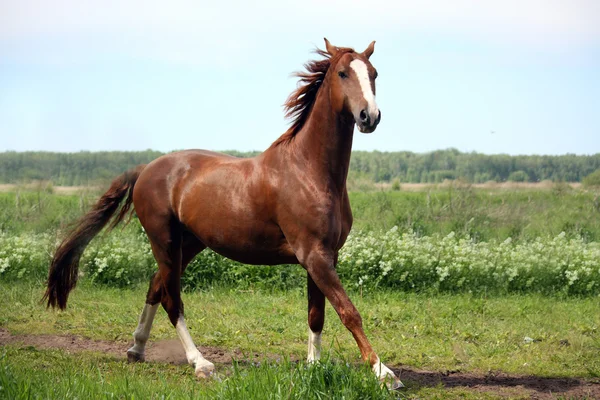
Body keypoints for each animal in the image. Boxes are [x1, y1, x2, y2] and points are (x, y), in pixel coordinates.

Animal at [43, 39, 404, 390]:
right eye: (343, 73)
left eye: (373, 74)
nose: (369, 116)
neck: (309, 171)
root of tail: (146, 169)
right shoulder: (313, 255)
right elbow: (348, 311)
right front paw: (385, 374)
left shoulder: (325, 256)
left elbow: (317, 315)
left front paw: (314, 368)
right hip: (164, 241)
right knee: (172, 300)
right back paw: (201, 364)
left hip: (188, 244)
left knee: (155, 286)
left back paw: (136, 348)